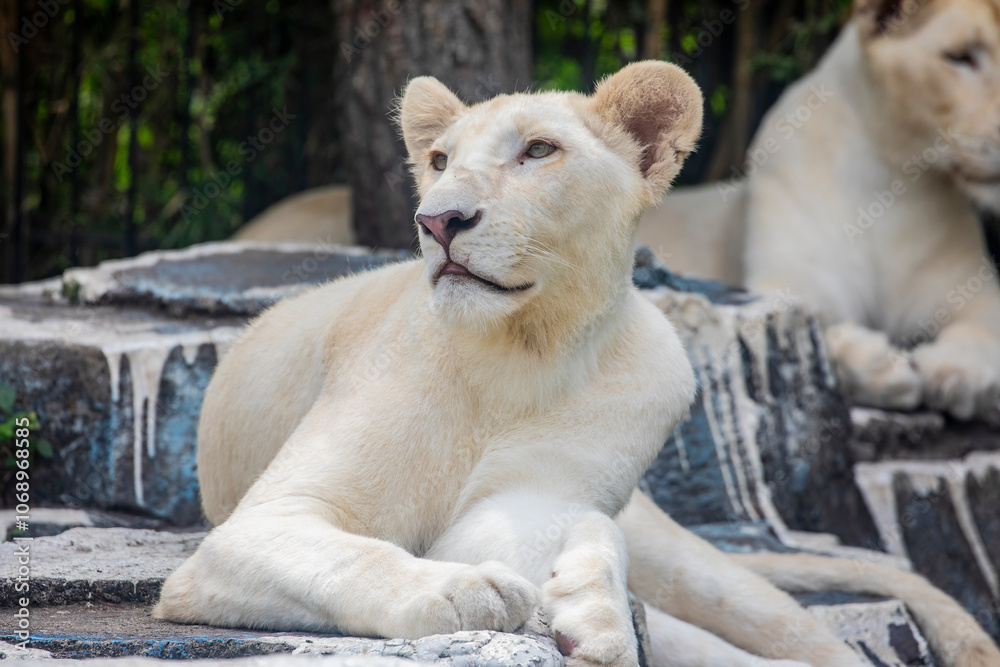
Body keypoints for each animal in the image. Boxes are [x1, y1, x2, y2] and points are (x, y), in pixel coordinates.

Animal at [155, 63, 999, 667]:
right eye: (438, 159)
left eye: (538, 150)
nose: (439, 220)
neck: (520, 348)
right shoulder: (259, 525)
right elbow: (360, 557)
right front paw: (470, 590)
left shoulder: (526, 496)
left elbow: (550, 527)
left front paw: (581, 607)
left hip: (700, 570)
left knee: (781, 628)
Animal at [639, 0, 1000, 421]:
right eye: (960, 57)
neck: (893, 181)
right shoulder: (788, 282)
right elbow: (808, 331)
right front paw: (881, 365)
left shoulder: (974, 292)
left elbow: (982, 331)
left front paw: (957, 372)